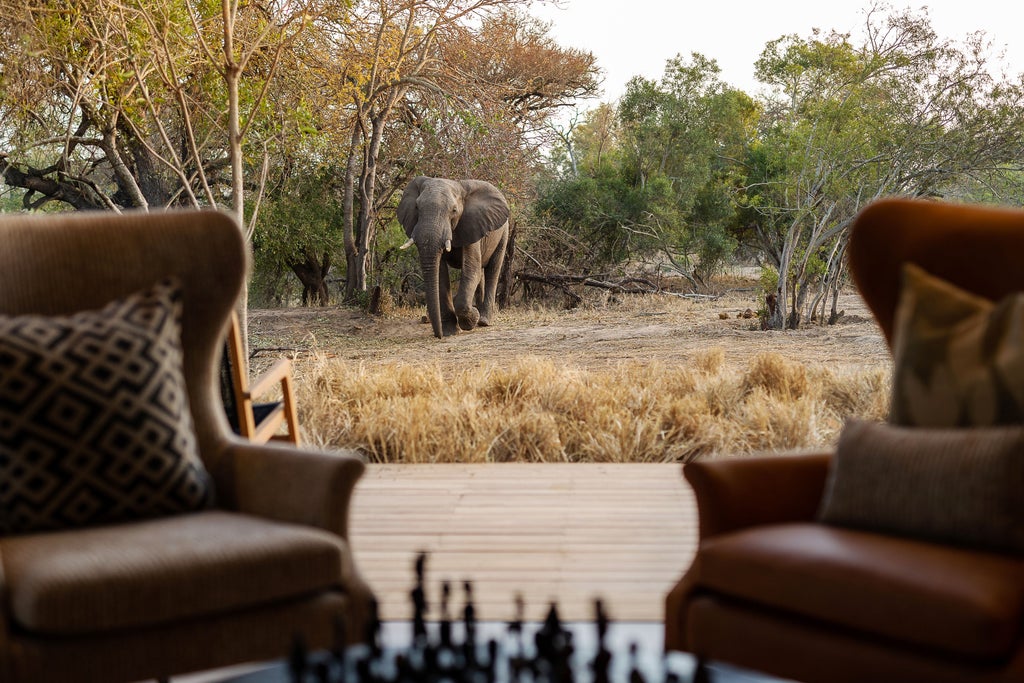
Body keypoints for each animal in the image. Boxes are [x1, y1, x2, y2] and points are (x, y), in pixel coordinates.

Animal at [399, 175, 512, 337]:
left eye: (454, 210)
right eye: (417, 208)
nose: (438, 335)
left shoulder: (472, 226)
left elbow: (471, 270)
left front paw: (471, 320)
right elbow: (441, 275)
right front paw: (450, 331)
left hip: (504, 232)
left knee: (493, 269)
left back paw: (483, 321)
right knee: (481, 274)